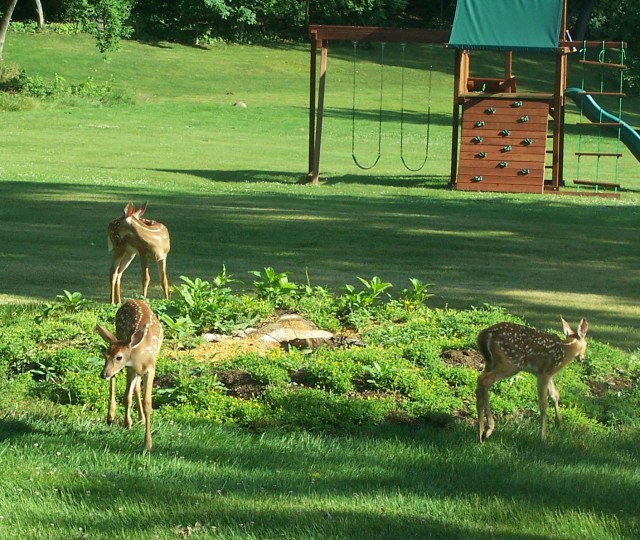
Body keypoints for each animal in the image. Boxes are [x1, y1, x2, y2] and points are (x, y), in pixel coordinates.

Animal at [96, 300, 165, 452]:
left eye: (119, 357)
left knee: (136, 388)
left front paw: (147, 444)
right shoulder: (131, 369)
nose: (103, 374)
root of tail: (132, 300)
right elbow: (126, 397)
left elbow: (147, 403)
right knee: (116, 379)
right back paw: (110, 416)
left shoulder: (151, 369)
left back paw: (141, 419)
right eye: (105, 355)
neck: (141, 357)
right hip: (117, 335)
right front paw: (128, 423)